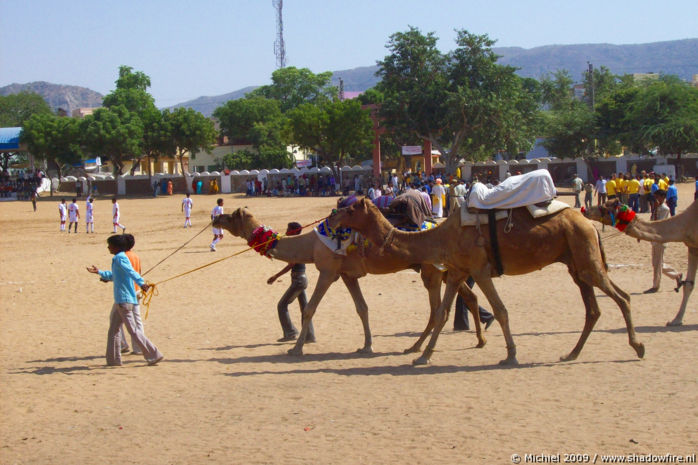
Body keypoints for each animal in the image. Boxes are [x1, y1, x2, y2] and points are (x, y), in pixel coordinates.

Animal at [212, 207, 490, 356]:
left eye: (232, 216)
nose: (215, 218)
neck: (310, 244)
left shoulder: (327, 271)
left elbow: (309, 309)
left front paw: (296, 349)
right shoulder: (347, 275)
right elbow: (362, 308)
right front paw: (367, 346)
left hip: (431, 271)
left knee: (438, 308)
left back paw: (418, 347)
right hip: (443, 270)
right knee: (470, 296)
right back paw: (479, 340)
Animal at [328, 198, 644, 364]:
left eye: (351, 208)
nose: (331, 218)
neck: (441, 235)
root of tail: (589, 223)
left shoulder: (479, 269)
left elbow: (501, 310)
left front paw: (511, 355)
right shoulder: (457, 271)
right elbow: (442, 313)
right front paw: (423, 355)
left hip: (585, 256)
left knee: (622, 297)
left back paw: (638, 346)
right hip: (576, 263)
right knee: (594, 308)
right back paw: (572, 353)